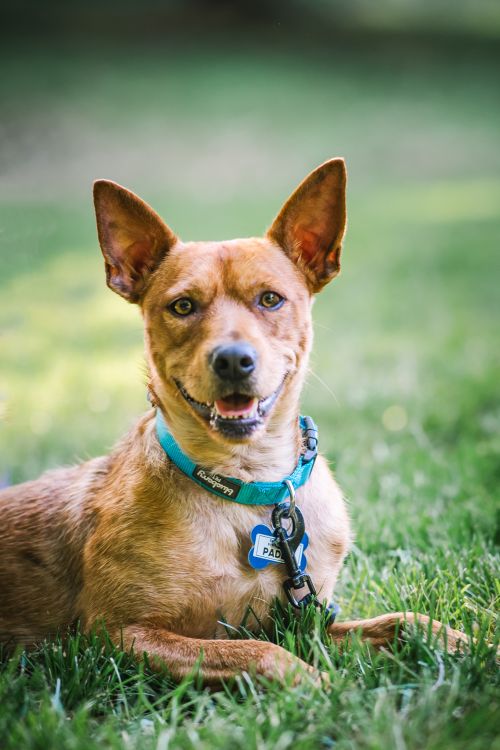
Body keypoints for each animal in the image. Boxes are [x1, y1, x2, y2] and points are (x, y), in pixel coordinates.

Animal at [0, 159, 466, 685]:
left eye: (270, 299)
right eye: (183, 306)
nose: (232, 359)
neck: (247, 483)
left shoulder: (310, 621)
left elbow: (405, 621)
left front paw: (468, 644)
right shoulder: (113, 637)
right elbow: (260, 652)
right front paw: (326, 687)